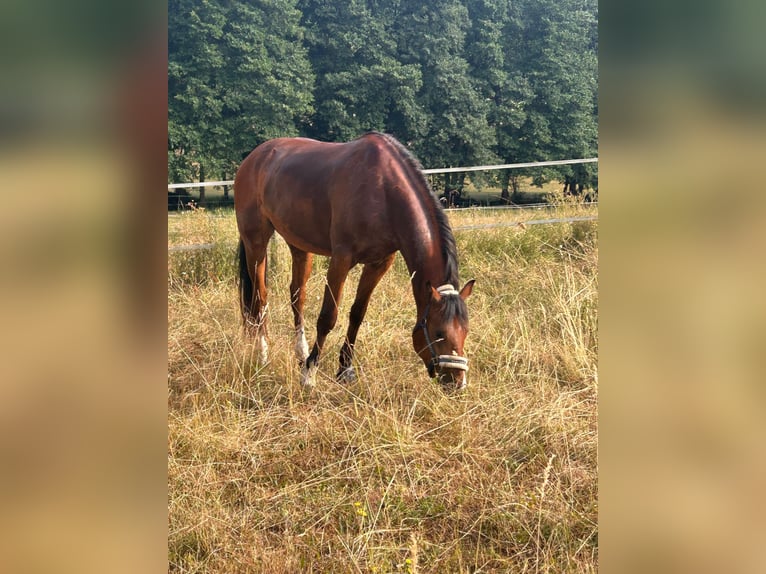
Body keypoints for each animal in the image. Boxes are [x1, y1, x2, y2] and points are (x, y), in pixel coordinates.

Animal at [234, 132, 475, 391]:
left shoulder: (379, 263)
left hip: (298, 244)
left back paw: (300, 352)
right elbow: (328, 317)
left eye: (466, 330)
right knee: (260, 296)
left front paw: (345, 369)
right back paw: (262, 354)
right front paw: (310, 374)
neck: (384, 191)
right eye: (439, 332)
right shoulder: (341, 259)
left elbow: (357, 313)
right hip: (256, 242)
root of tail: (254, 157)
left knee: (297, 296)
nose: (457, 382)